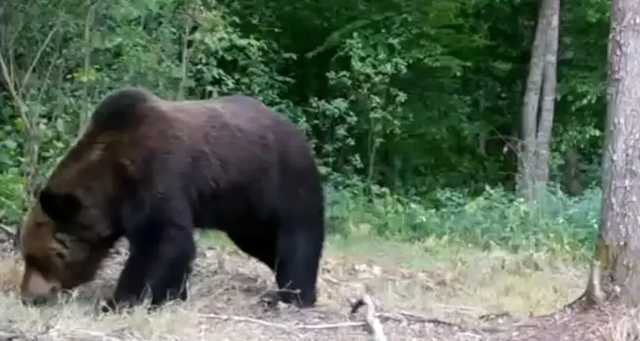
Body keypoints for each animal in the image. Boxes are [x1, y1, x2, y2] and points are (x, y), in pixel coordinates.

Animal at [17, 86, 328, 310]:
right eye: (28, 257)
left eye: (39, 259)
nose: (28, 296)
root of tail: (300, 132)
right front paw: (174, 294)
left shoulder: (157, 176)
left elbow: (164, 240)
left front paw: (120, 300)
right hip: (244, 210)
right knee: (264, 243)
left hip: (284, 181)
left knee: (298, 236)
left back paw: (292, 295)